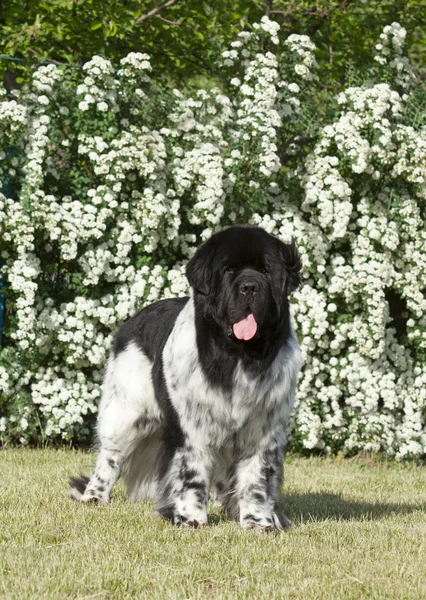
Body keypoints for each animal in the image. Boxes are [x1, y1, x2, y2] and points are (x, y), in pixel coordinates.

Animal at [69, 224, 302, 528]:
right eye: (228, 270)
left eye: (265, 270)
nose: (250, 287)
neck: (238, 356)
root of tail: (133, 319)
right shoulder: (192, 424)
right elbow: (192, 472)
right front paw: (191, 518)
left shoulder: (264, 428)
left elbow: (257, 478)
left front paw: (257, 522)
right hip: (125, 413)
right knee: (110, 457)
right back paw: (94, 496)